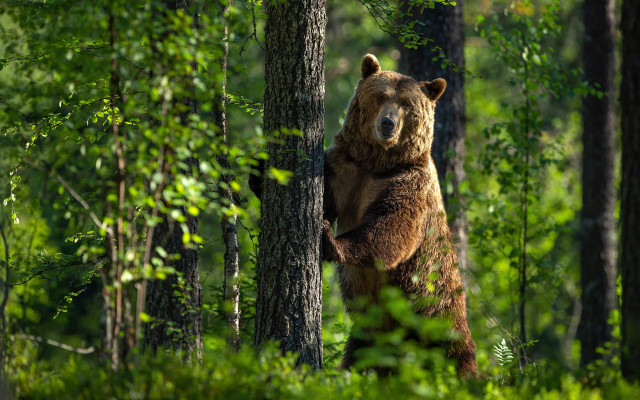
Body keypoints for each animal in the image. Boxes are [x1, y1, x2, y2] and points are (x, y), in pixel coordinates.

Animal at [322, 54, 477, 376]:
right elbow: (325, 190)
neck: (379, 163)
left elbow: (391, 229)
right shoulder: (347, 166)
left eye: (406, 103)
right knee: (358, 359)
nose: (387, 123)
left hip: (436, 318)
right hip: (370, 337)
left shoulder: (409, 184)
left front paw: (332, 240)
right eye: (381, 96)